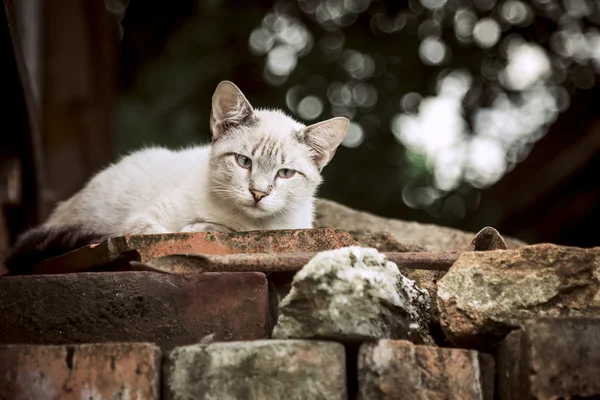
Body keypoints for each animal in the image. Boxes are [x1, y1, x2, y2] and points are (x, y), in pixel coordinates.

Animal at [4, 79, 350, 274]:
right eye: (243, 162)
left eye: (285, 173)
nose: (258, 193)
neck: (247, 223)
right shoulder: (142, 222)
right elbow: (167, 233)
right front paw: (199, 227)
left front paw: (204, 227)